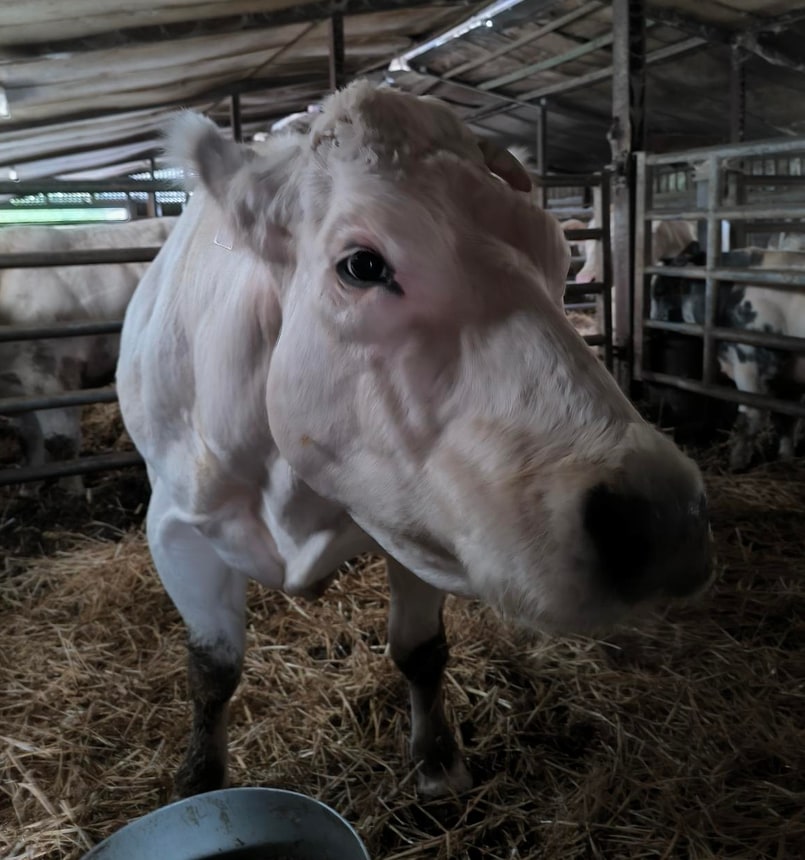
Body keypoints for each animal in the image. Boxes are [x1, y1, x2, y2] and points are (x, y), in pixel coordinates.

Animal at [0, 217, 177, 491]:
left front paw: (72, 491)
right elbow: (29, 438)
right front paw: (29, 488)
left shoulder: (51, 373)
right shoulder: (19, 388)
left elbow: (62, 442)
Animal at [116, 80, 712, 801]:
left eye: (560, 254)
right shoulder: (173, 525)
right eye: (362, 265)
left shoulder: (415, 517)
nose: (664, 519)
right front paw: (200, 781)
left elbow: (420, 650)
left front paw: (436, 760)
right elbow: (212, 670)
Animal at [651, 241, 805, 470]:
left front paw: (736, 464)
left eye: (660, 292)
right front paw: (785, 460)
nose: (653, 329)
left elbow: (750, 418)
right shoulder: (789, 379)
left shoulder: (748, 363)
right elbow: (785, 420)